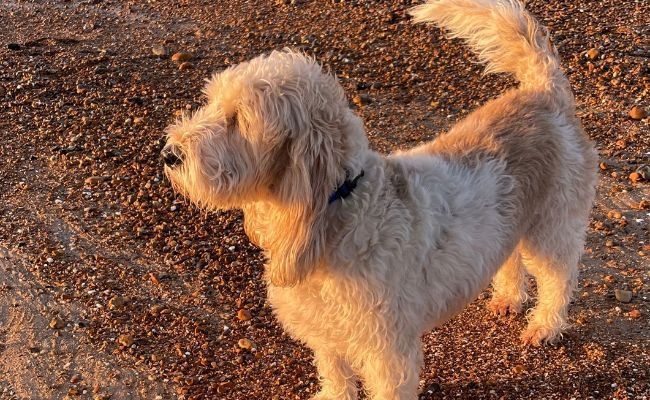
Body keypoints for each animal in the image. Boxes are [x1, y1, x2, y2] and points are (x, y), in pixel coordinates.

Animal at [163, 0, 596, 398]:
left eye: (238, 120)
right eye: (211, 103)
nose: (169, 154)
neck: (342, 209)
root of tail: (545, 93)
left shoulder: (389, 352)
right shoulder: (328, 334)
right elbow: (335, 374)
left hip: (553, 226)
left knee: (559, 277)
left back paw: (544, 325)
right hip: (510, 222)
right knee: (510, 257)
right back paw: (507, 298)